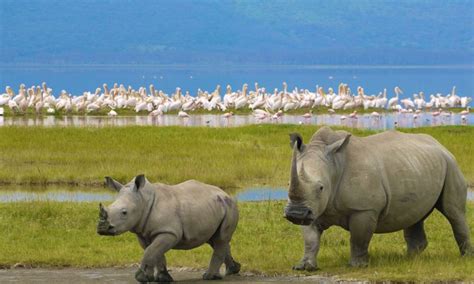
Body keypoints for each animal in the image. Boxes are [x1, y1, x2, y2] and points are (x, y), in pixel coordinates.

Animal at [96, 174, 241, 282]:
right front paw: (162, 278)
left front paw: (141, 278)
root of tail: (225, 193)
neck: (143, 200)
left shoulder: (169, 232)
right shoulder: (145, 232)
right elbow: (154, 252)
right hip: (215, 207)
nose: (102, 228)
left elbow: (151, 251)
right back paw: (233, 270)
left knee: (220, 239)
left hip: (229, 207)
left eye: (124, 212)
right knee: (215, 239)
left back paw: (209, 277)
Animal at [284, 127, 472, 270]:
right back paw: (409, 259)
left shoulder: (364, 209)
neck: (334, 166)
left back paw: (465, 257)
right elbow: (310, 239)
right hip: (418, 165)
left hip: (451, 165)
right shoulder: (313, 208)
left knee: (454, 213)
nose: (295, 213)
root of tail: (440, 144)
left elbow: (358, 238)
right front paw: (304, 267)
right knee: (415, 214)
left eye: (321, 188)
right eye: (288, 184)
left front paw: (357, 266)